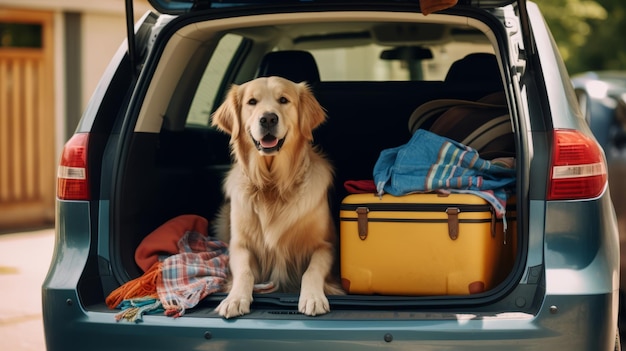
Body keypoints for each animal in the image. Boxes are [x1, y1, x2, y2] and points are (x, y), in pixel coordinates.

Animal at [212, 76, 344, 320]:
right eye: (252, 102)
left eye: (283, 100)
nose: (268, 118)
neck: (272, 186)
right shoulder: (239, 246)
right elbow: (244, 272)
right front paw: (234, 299)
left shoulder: (327, 246)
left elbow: (312, 270)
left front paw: (313, 297)